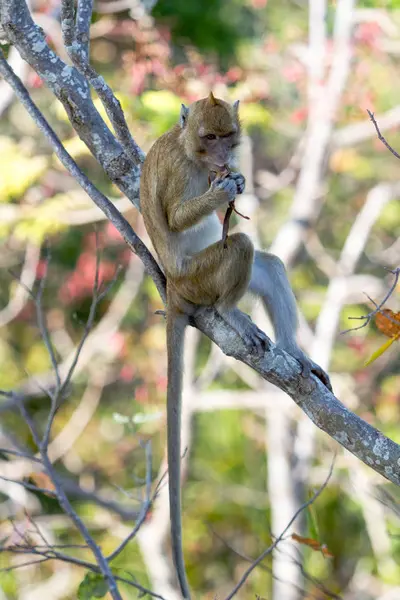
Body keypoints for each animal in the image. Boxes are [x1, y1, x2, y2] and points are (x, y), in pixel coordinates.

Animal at [141, 91, 332, 596]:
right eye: (209, 138)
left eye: (228, 137)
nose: (223, 157)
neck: (188, 149)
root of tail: (174, 288)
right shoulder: (178, 170)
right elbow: (174, 216)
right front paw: (225, 190)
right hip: (198, 277)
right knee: (241, 245)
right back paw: (228, 310)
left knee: (269, 263)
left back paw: (296, 355)